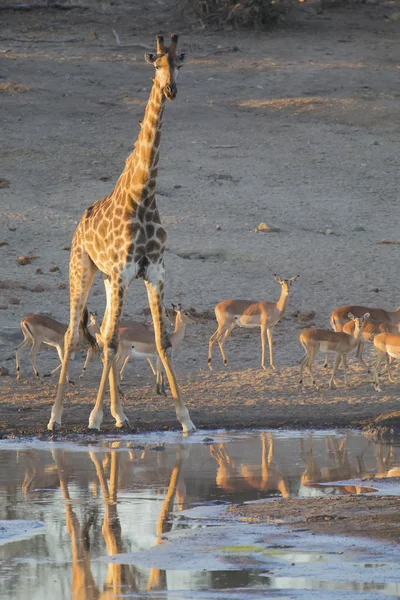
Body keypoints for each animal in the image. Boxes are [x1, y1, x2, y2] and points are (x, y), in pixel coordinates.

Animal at [47, 35, 195, 434]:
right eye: (155, 64)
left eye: (179, 62)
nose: (172, 90)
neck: (142, 196)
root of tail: (79, 226)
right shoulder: (122, 273)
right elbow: (113, 342)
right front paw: (94, 418)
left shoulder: (153, 273)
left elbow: (161, 341)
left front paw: (186, 418)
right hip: (83, 270)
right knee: (73, 335)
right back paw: (56, 417)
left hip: (107, 280)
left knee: (102, 333)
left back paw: (120, 413)